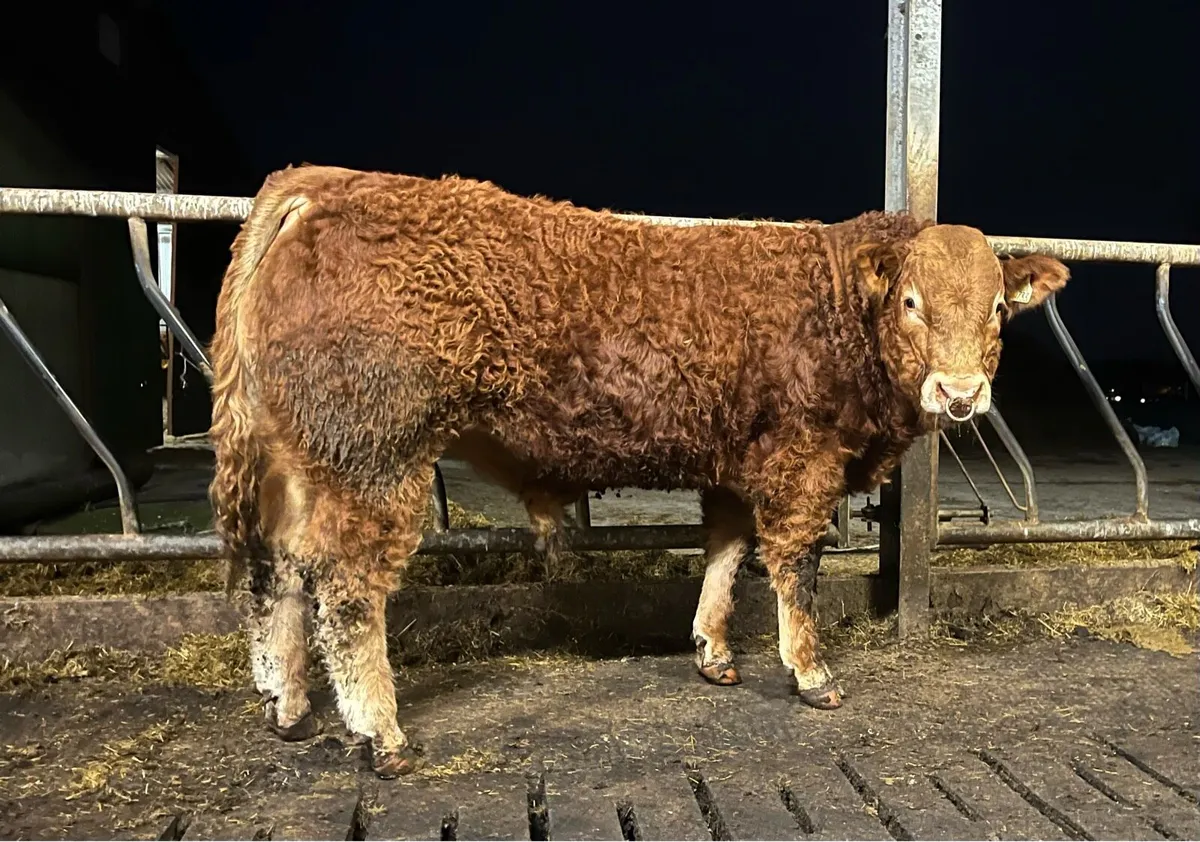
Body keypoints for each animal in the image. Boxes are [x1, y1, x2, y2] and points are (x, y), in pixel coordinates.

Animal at [208, 164, 1069, 778]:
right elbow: (794, 565)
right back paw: (379, 733)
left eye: (998, 308)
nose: (960, 393)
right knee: (346, 589)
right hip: (375, 456)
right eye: (912, 302)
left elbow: (725, 550)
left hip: (298, 461)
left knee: (276, 571)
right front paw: (810, 670)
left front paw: (713, 651)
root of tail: (321, 182)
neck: (832, 306)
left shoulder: (734, 459)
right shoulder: (802, 458)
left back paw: (288, 706)